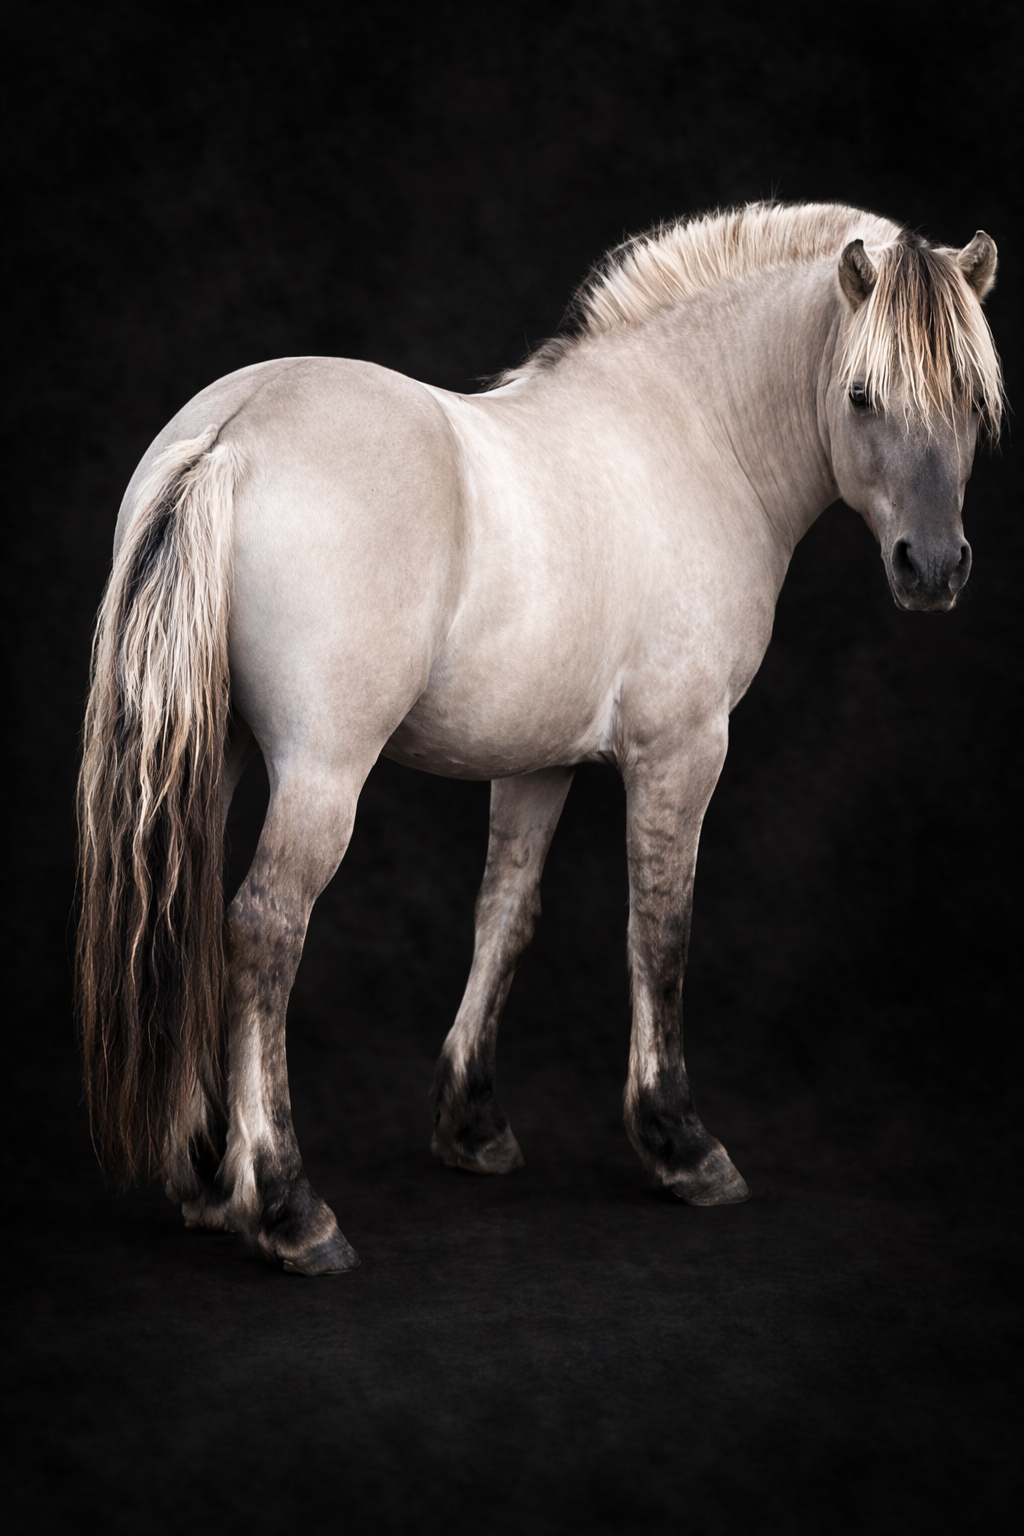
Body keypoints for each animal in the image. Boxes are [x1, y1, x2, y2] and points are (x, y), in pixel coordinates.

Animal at [77, 202, 1002, 1275]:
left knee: (184, 912)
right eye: (862, 393)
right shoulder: (683, 751)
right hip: (321, 772)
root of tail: (231, 436)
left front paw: (472, 1125)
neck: (690, 436)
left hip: (214, 757)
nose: (932, 568)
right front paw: (681, 1145)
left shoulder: (537, 765)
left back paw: (200, 1176)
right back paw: (286, 1205)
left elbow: (506, 918)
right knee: (264, 930)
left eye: (971, 399)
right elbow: (661, 931)